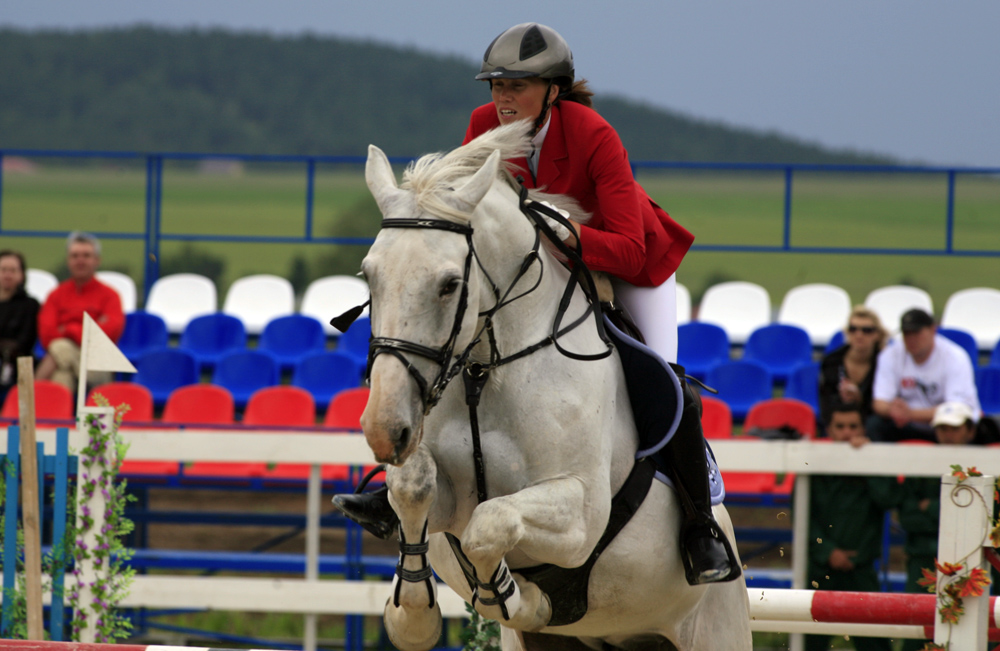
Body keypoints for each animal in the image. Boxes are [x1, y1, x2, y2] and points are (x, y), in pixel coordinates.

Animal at [360, 123, 752, 651]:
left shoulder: (580, 513)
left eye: (449, 284)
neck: (486, 372)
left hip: (715, 625)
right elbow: (413, 487)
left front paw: (516, 594)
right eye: (369, 276)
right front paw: (412, 617)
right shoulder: (446, 500)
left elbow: (490, 525)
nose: (384, 428)